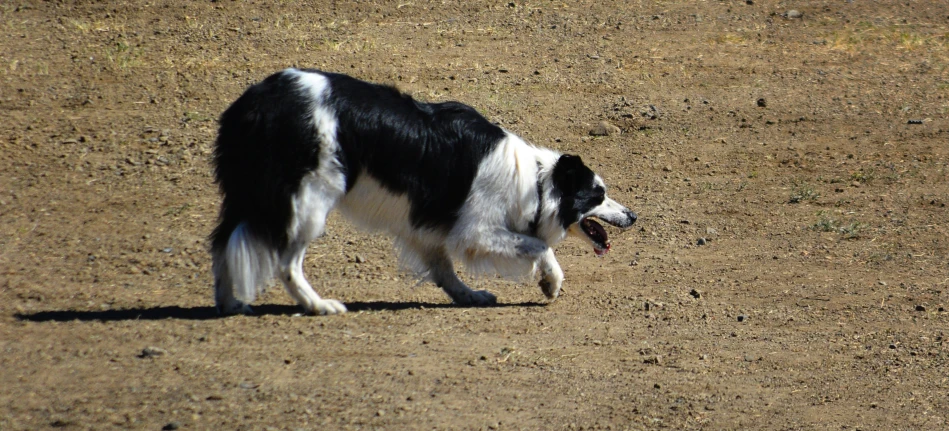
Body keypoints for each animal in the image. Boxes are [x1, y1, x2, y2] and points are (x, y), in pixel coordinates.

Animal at [208, 69, 636, 316]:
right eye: (597, 195)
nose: (633, 215)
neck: (536, 180)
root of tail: (256, 102)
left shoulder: (427, 228)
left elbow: (444, 268)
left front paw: (468, 296)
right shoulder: (474, 232)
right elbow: (539, 246)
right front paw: (551, 282)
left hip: (249, 195)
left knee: (221, 243)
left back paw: (230, 303)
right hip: (307, 202)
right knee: (286, 262)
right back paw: (318, 305)